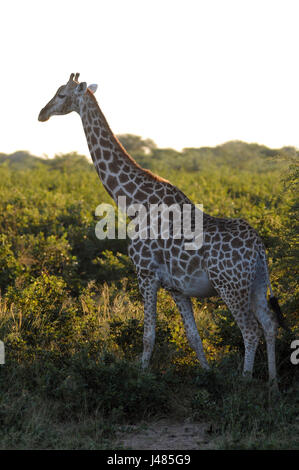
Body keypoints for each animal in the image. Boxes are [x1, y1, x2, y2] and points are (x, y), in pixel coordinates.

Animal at [38, 74, 288, 390]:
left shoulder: (145, 274)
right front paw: (208, 375)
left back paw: (244, 383)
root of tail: (260, 248)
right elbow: (193, 337)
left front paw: (140, 379)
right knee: (269, 323)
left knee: (250, 330)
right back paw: (273, 384)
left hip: (230, 286)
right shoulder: (176, 287)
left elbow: (148, 336)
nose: (41, 114)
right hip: (256, 283)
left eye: (61, 94)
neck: (134, 202)